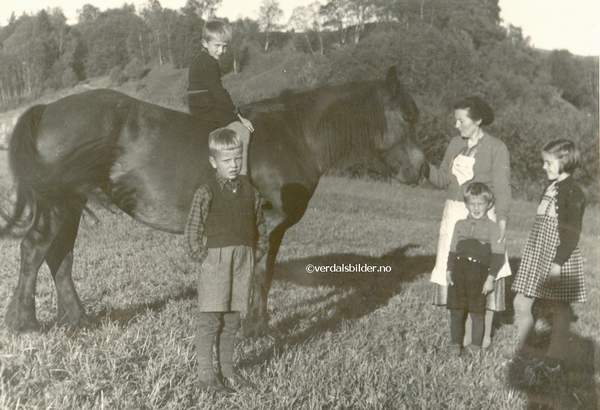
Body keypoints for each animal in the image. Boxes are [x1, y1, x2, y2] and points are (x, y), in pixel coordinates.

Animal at [0, 66, 424, 336]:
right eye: (407, 116)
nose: (421, 170)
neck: (292, 135)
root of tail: (49, 108)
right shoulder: (267, 225)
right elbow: (260, 274)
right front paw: (254, 328)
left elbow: (261, 273)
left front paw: (253, 322)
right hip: (58, 204)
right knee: (34, 250)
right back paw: (25, 323)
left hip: (71, 205)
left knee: (59, 256)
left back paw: (77, 319)